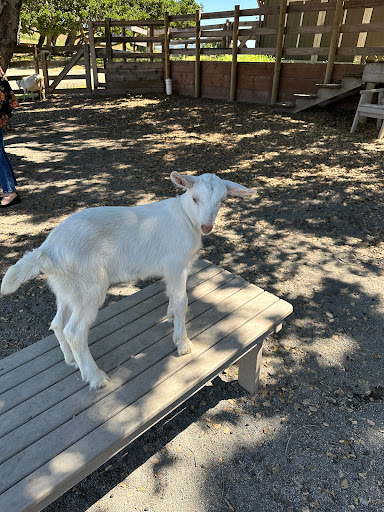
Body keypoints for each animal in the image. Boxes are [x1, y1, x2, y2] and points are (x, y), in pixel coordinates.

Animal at [0, 174, 258, 390]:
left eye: (223, 200)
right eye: (195, 198)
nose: (207, 226)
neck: (186, 218)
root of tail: (46, 252)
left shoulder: (173, 269)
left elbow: (171, 295)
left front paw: (170, 316)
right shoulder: (176, 264)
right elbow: (182, 300)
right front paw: (183, 343)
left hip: (67, 288)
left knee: (57, 323)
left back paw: (72, 361)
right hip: (89, 286)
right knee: (74, 331)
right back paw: (96, 378)